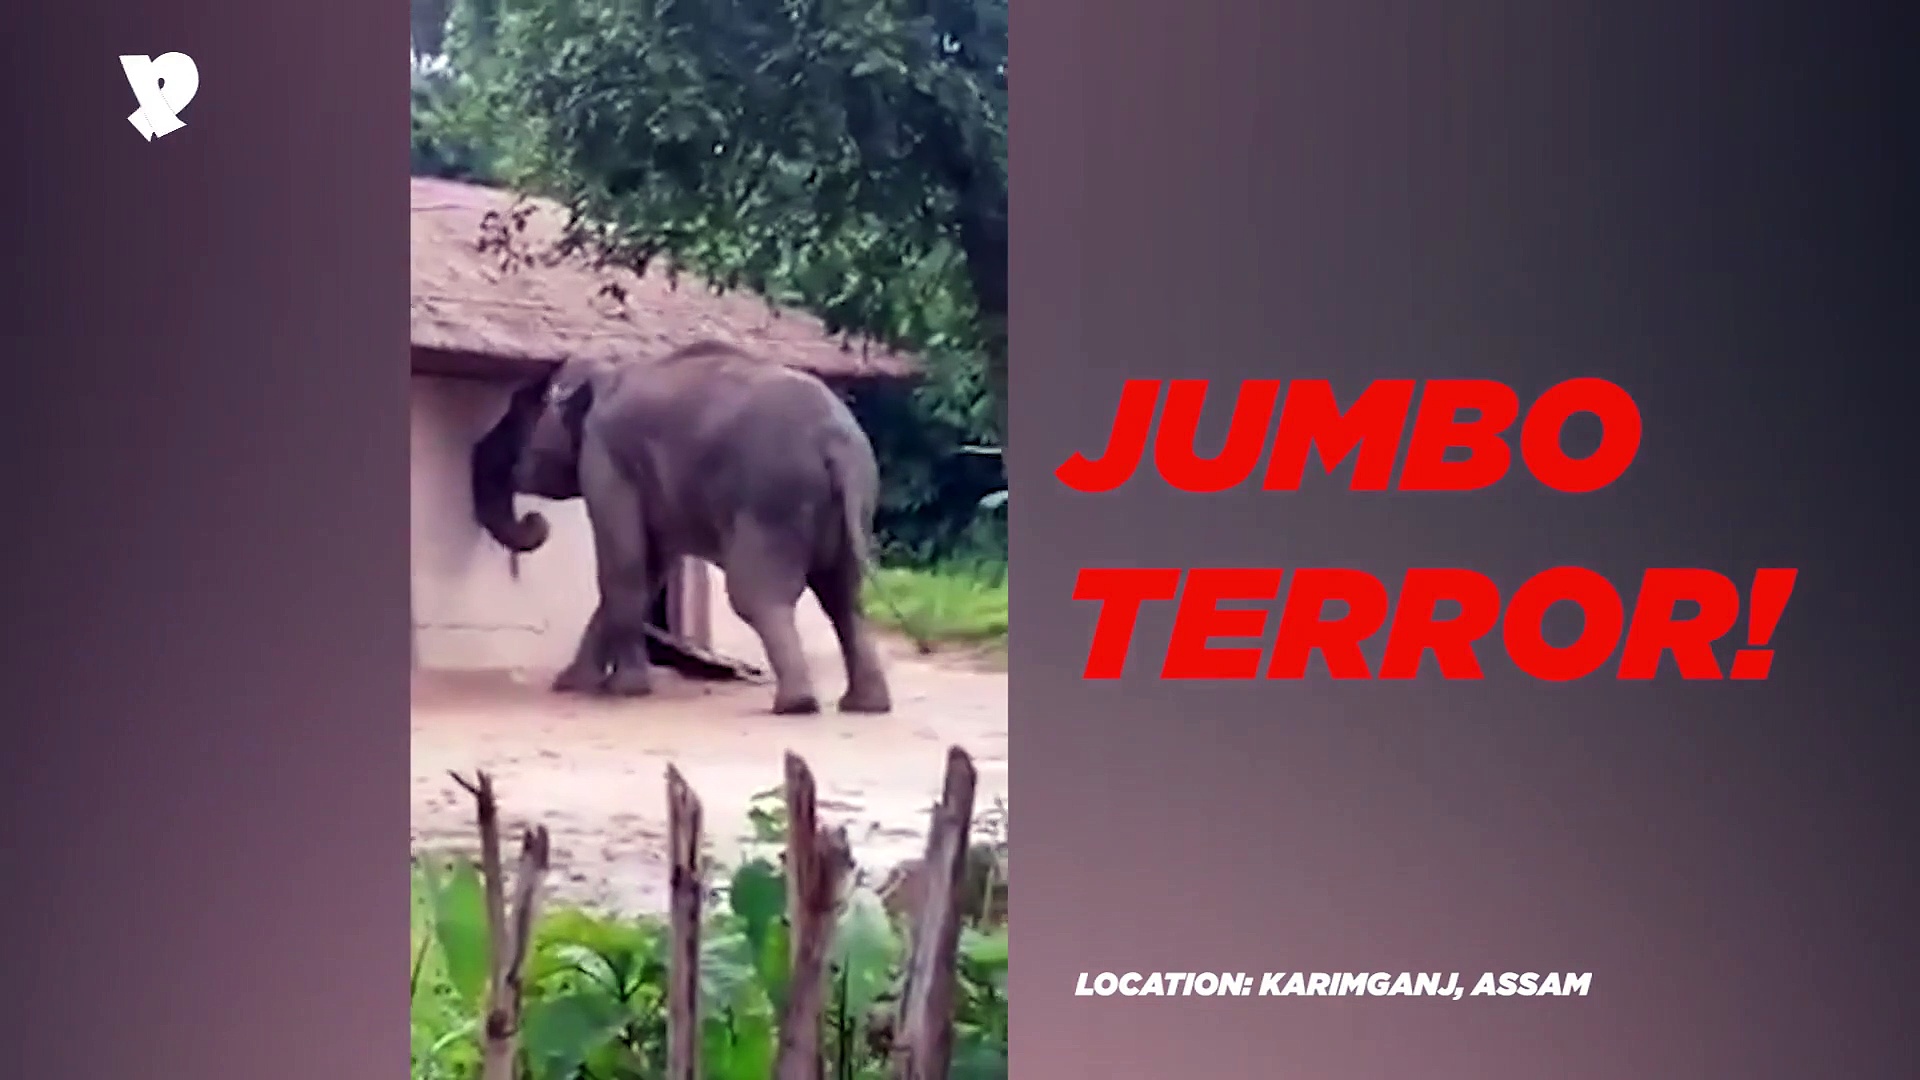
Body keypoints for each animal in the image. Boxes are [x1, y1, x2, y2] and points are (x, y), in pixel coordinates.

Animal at [470, 340, 893, 716]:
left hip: (773, 504)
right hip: (850, 506)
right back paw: (863, 706)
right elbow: (648, 569)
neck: (608, 371)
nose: (534, 521)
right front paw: (573, 684)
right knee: (844, 598)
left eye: (515, 415)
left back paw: (796, 706)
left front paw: (623, 690)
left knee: (758, 596)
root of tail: (837, 447)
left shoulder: (606, 458)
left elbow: (624, 564)